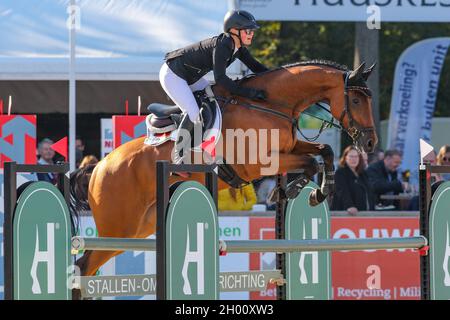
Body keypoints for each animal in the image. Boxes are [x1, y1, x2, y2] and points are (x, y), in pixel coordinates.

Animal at [72, 59, 378, 282]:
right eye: (357, 101)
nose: (370, 143)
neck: (268, 104)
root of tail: (98, 167)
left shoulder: (290, 149)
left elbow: (324, 152)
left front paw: (315, 192)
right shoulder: (259, 163)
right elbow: (312, 162)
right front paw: (294, 190)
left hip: (136, 229)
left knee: (88, 264)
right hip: (119, 225)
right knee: (84, 265)